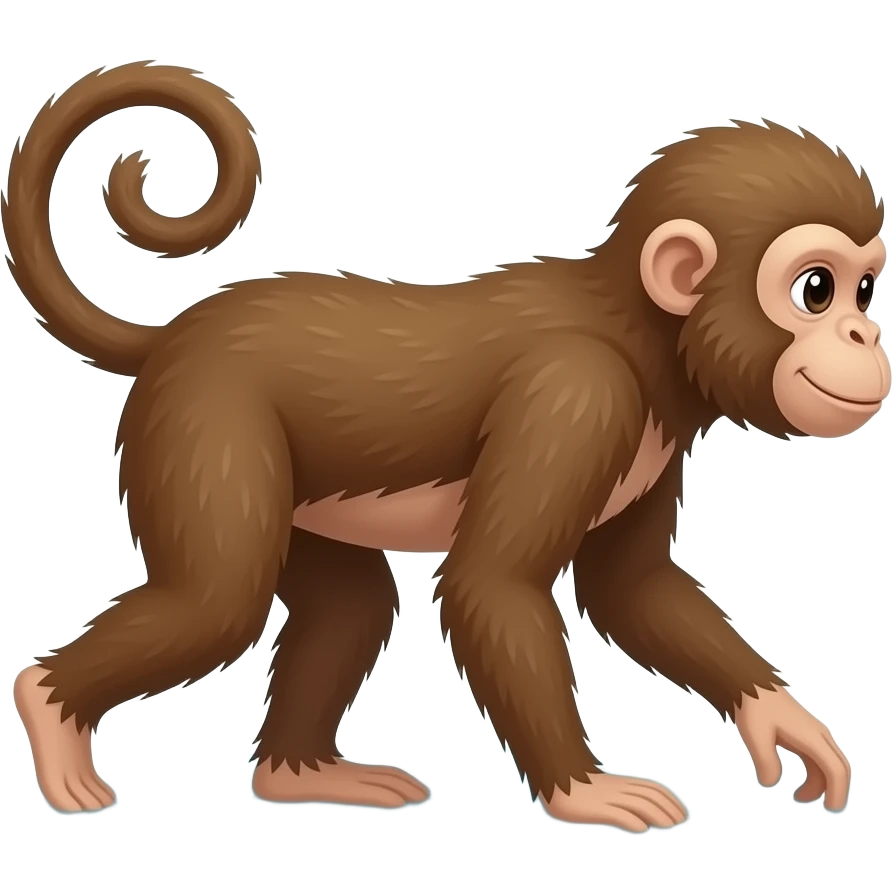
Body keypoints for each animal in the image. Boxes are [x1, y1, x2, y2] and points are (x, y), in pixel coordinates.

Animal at [4, 62, 887, 828]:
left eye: (863, 289)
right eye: (815, 289)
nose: (864, 333)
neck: (646, 336)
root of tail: (173, 338)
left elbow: (632, 591)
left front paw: (782, 719)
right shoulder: (576, 397)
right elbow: (492, 585)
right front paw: (583, 792)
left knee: (348, 606)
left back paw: (300, 777)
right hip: (203, 420)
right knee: (216, 603)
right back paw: (47, 707)